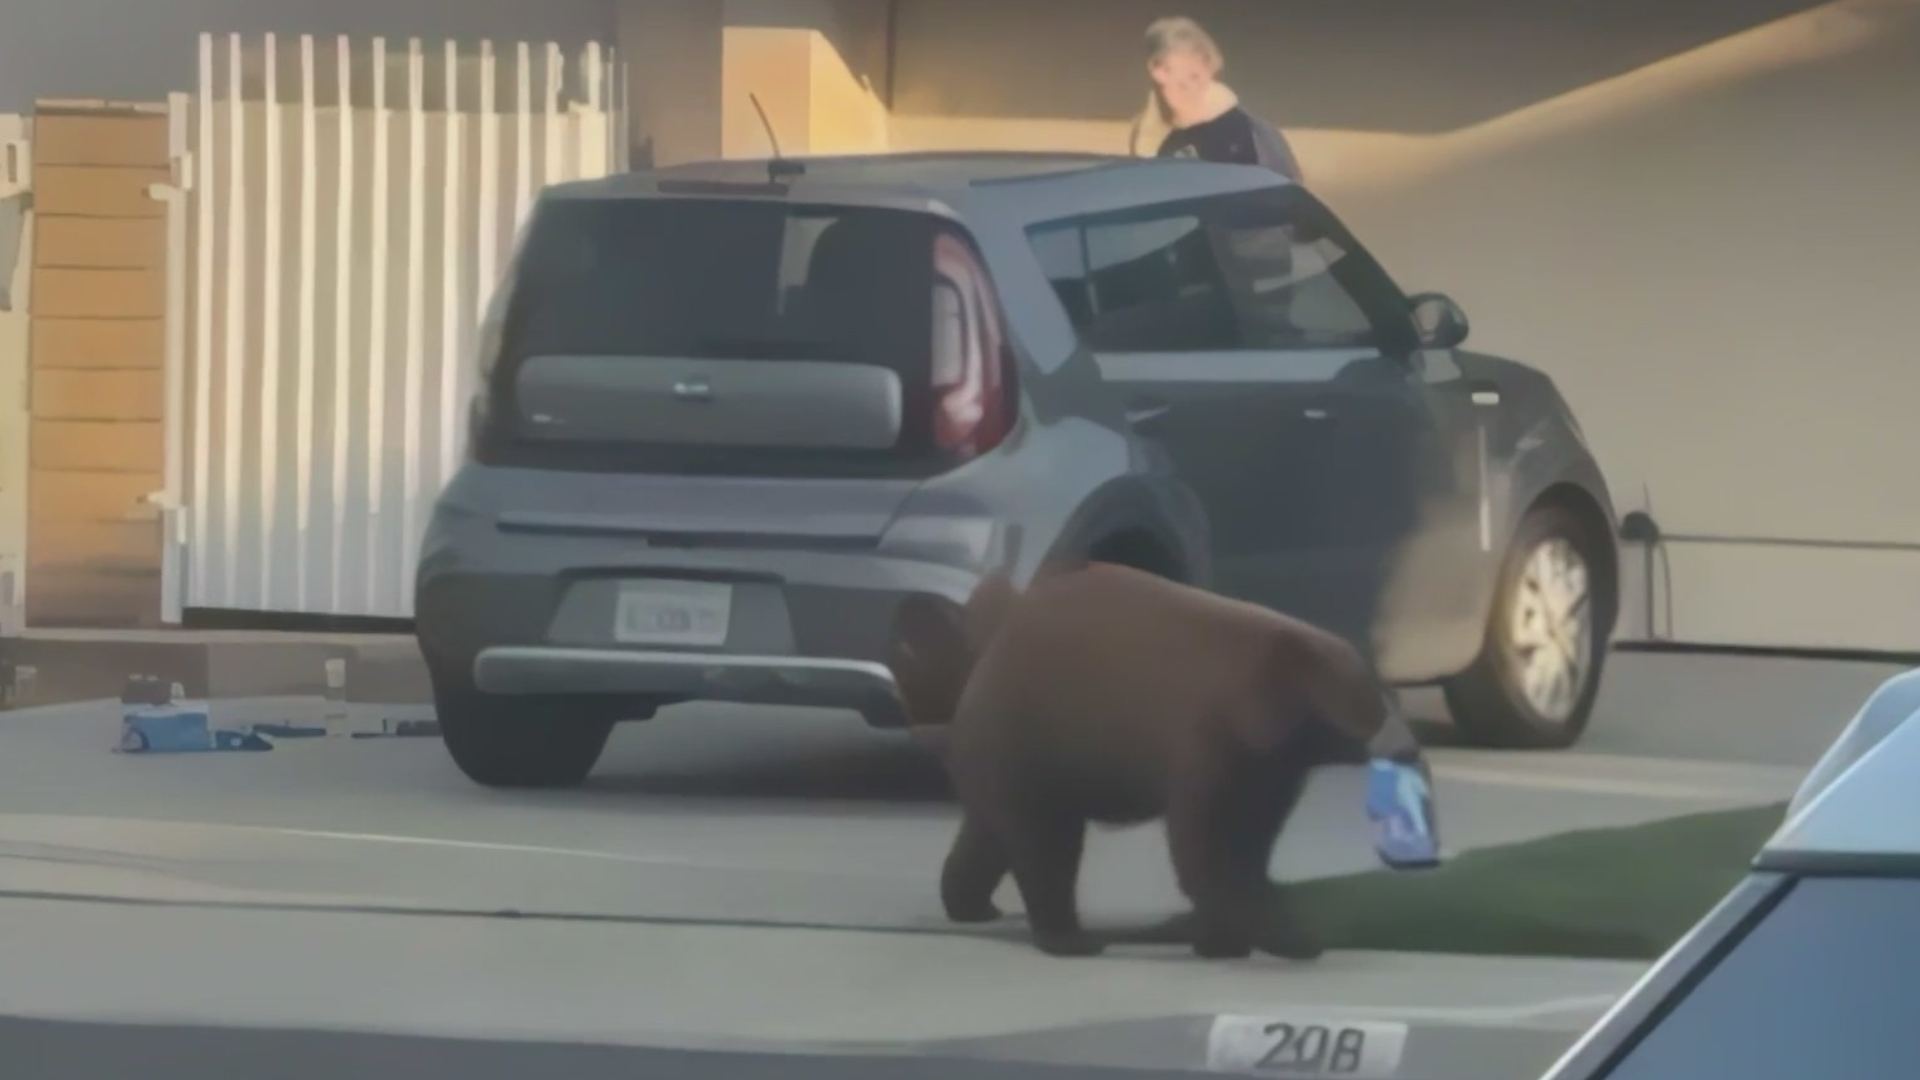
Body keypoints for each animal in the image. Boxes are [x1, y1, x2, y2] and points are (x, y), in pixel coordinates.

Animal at [936, 557, 1390, 953]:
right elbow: (1205, 841)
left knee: (990, 830)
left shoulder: (1271, 766)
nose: (1395, 748)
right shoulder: (1207, 740)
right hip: (1028, 734)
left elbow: (1251, 839)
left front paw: (1276, 933)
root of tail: (998, 636)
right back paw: (1070, 939)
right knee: (1045, 839)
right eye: (1363, 718)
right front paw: (1238, 939)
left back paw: (973, 906)